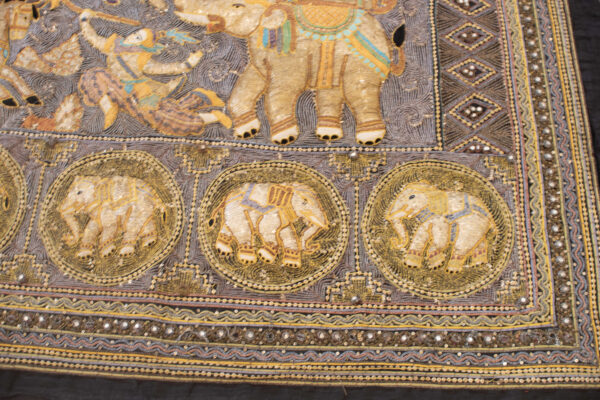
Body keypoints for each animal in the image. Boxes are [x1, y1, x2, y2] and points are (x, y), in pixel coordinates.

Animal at [174, 0, 406, 146]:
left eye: (237, 6)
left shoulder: (289, 55)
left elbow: (282, 89)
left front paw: (284, 139)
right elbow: (250, 83)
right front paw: (247, 132)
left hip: (362, 57)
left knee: (358, 90)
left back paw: (369, 138)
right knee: (330, 92)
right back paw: (328, 134)